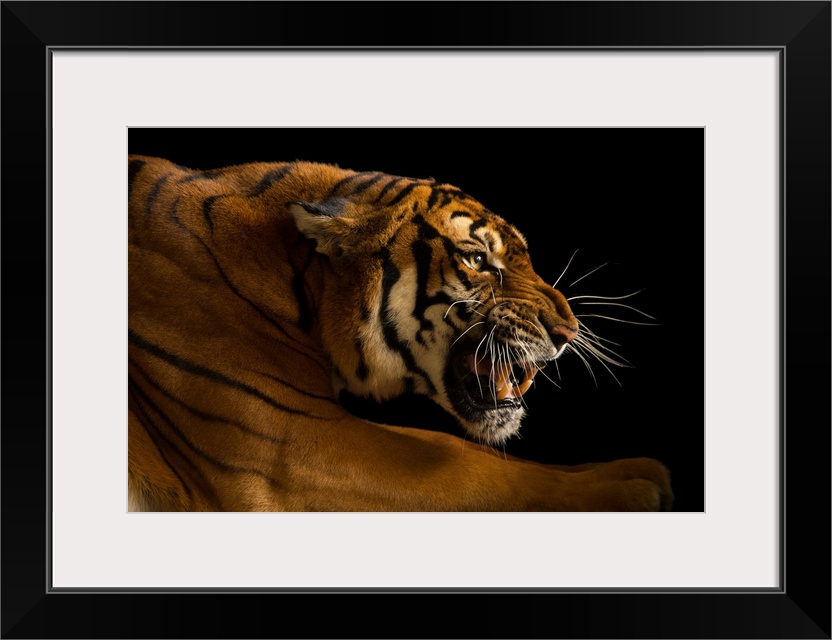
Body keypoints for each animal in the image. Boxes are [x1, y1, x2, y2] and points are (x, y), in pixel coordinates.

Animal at [128, 155, 673, 512]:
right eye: (477, 259)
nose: (568, 331)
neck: (300, 278)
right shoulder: (286, 447)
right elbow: (460, 460)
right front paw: (631, 490)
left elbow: (464, 447)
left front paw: (631, 469)